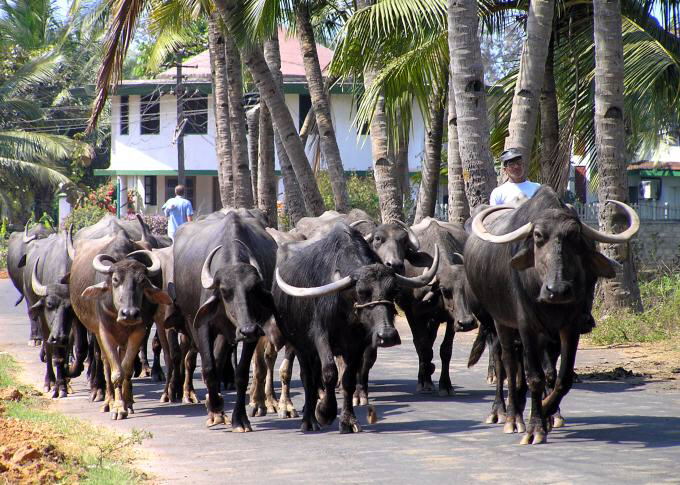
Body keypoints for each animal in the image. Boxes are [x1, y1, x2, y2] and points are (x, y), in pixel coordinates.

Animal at [175, 208, 284, 432]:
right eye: (225, 291)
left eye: (253, 289)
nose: (247, 330)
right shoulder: (202, 326)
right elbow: (208, 368)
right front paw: (216, 410)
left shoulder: (251, 331)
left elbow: (241, 373)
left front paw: (239, 418)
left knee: (220, 359)